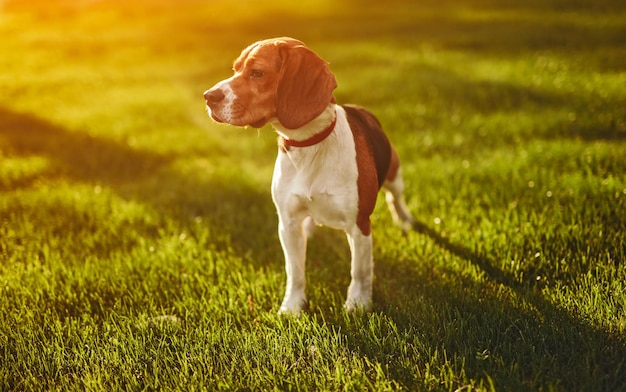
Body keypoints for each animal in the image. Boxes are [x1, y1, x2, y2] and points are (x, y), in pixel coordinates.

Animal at [202, 36, 412, 312]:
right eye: (235, 69)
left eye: (257, 73)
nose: (208, 96)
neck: (308, 145)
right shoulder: (288, 223)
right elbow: (295, 272)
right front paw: (292, 307)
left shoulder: (359, 225)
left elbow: (360, 271)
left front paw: (357, 305)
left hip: (393, 176)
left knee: (395, 198)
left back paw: (405, 219)